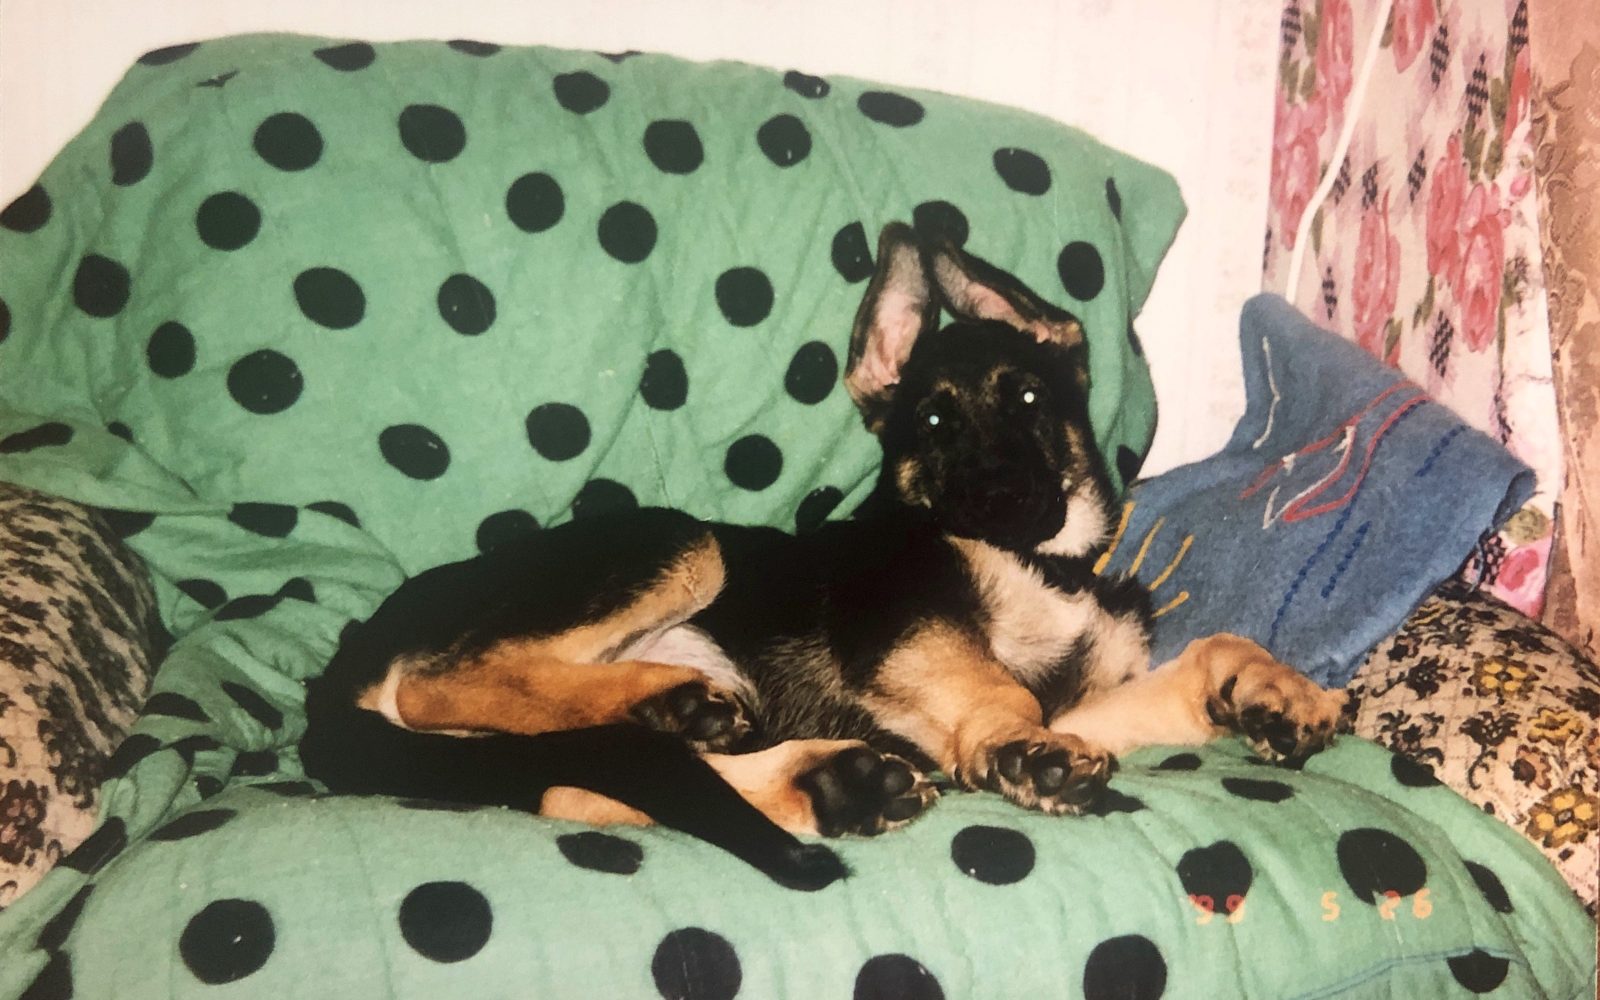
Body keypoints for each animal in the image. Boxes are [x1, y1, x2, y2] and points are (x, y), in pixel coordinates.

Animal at [300, 223, 1346, 889]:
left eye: (1028, 400)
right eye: (934, 422)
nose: (1001, 502)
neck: (1044, 566)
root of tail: (346, 662)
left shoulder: (1092, 698)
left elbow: (1213, 650)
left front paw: (1272, 693)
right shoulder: (906, 626)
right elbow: (995, 687)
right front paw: (1024, 753)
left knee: (572, 781)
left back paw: (822, 782)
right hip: (678, 544)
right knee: (449, 685)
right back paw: (677, 703)